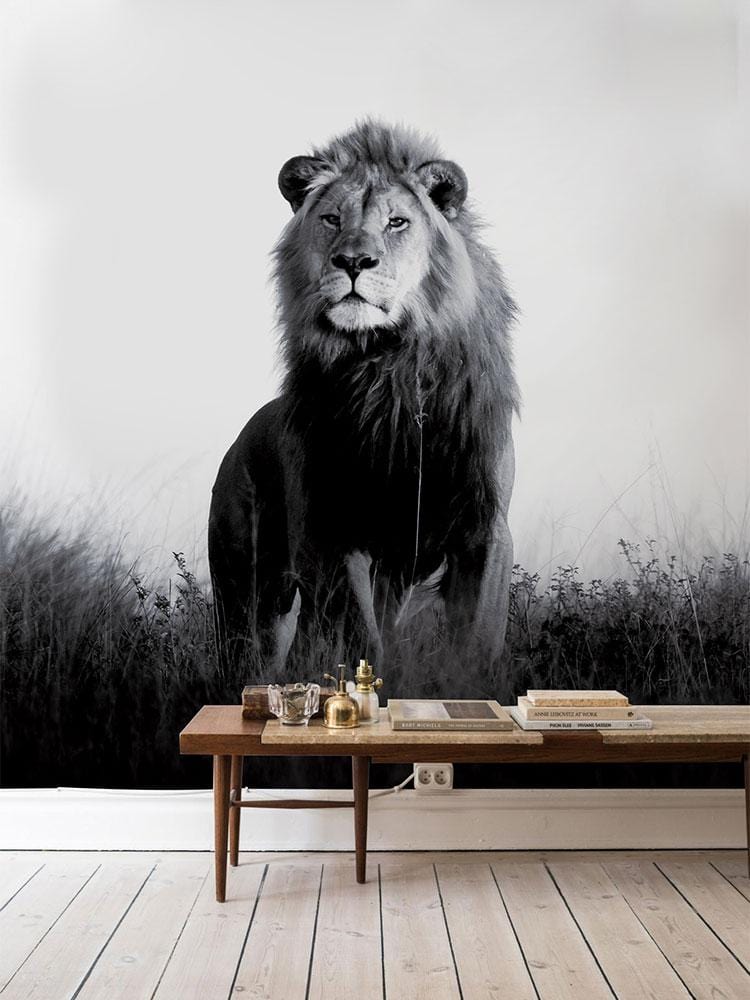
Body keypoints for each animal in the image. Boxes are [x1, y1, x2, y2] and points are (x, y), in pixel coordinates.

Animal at [208, 120, 519, 676]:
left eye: (397, 222)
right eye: (332, 219)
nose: (354, 261)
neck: (386, 367)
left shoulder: (483, 529)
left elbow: (476, 639)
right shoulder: (333, 529)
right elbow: (359, 634)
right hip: (245, 589)